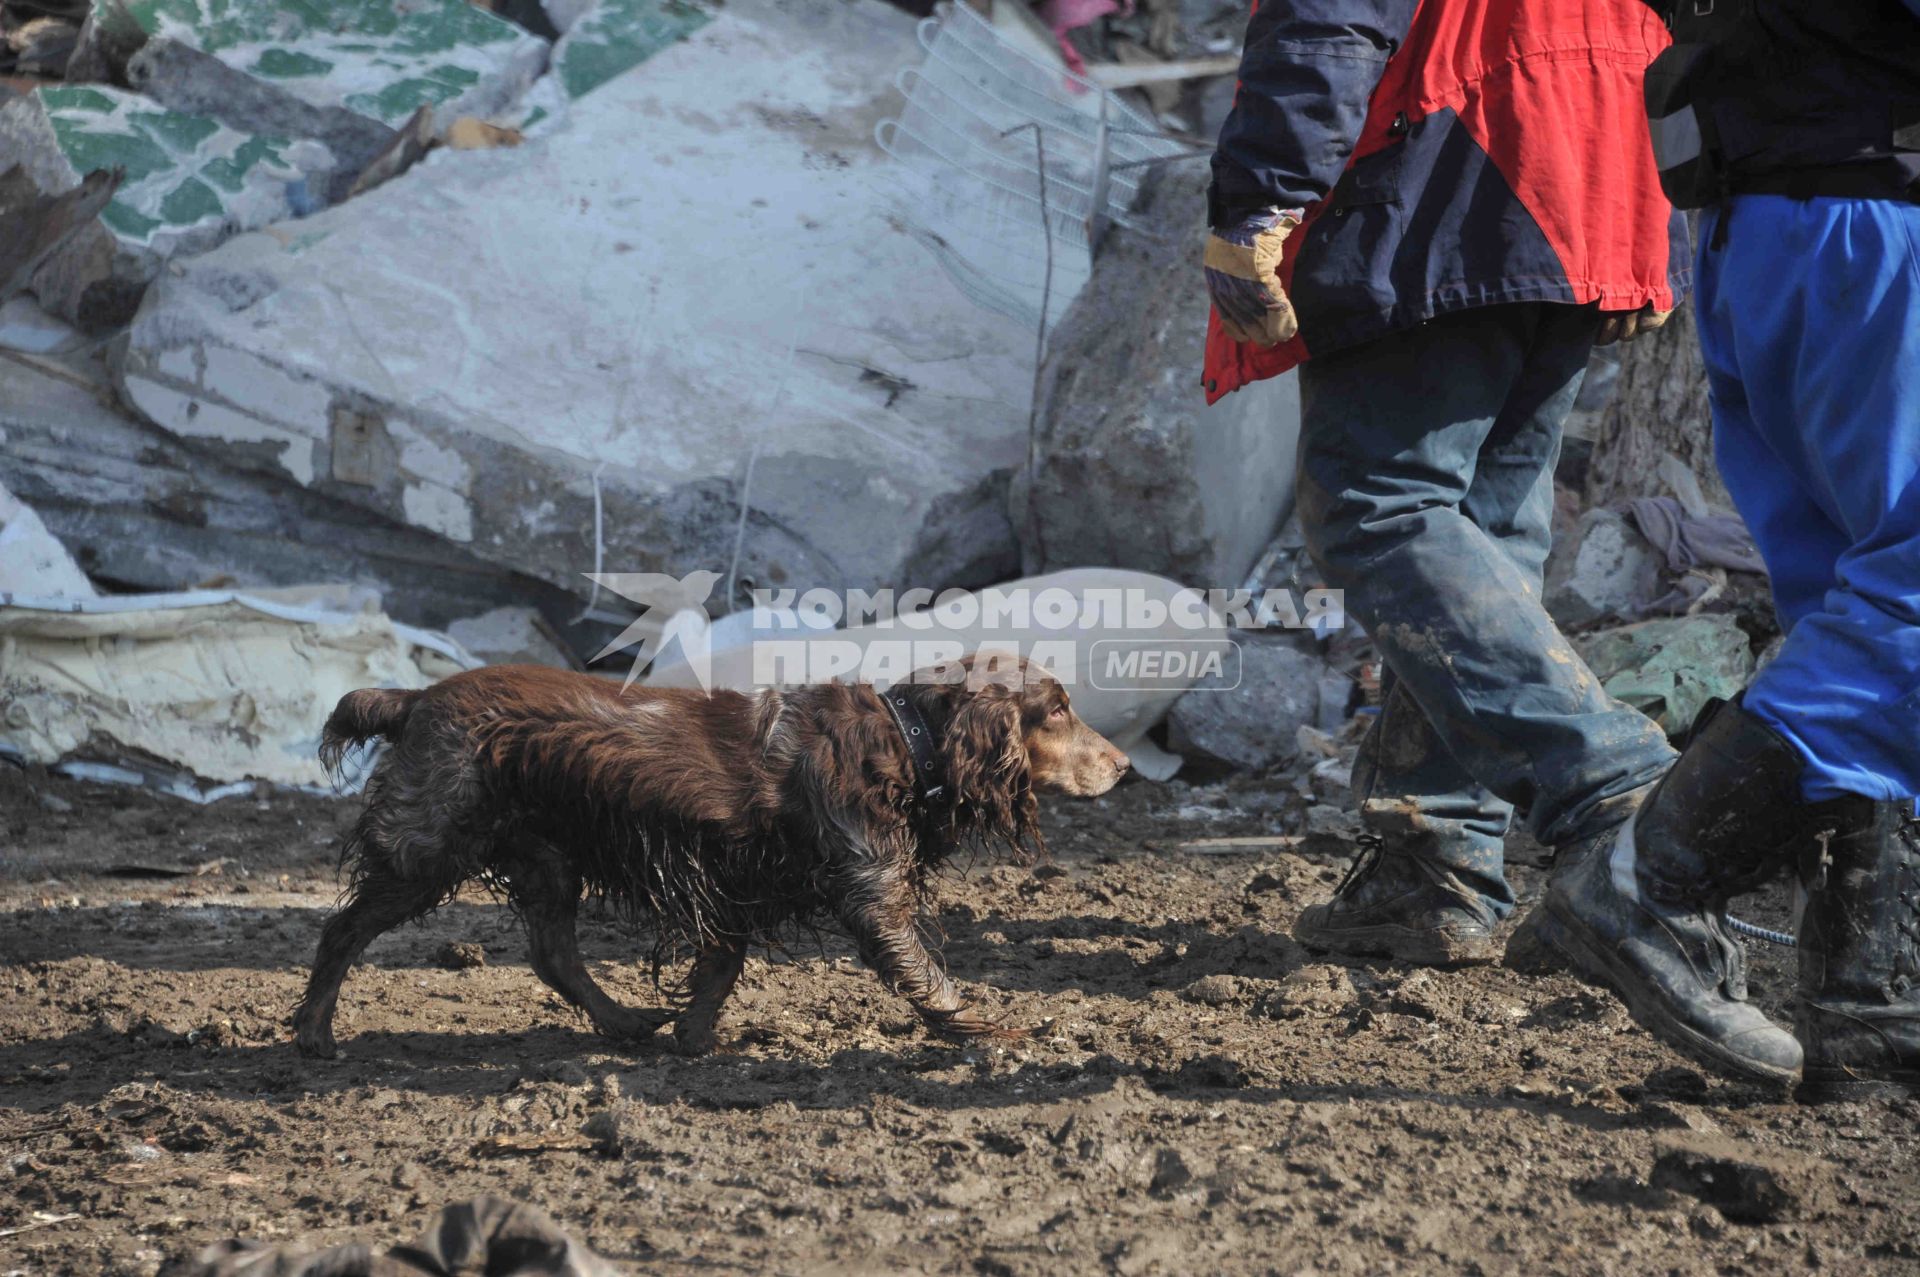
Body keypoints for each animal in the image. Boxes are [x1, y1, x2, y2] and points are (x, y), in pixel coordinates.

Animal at [288, 652, 1121, 1052]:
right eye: (1057, 710)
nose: (1122, 764)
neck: (906, 742)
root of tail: (415, 699)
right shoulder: (868, 888)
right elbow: (925, 975)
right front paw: (985, 1028)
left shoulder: (732, 876)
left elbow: (720, 963)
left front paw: (691, 1035)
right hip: (428, 848)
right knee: (341, 930)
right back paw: (314, 1032)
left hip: (548, 858)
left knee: (554, 955)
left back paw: (626, 1023)